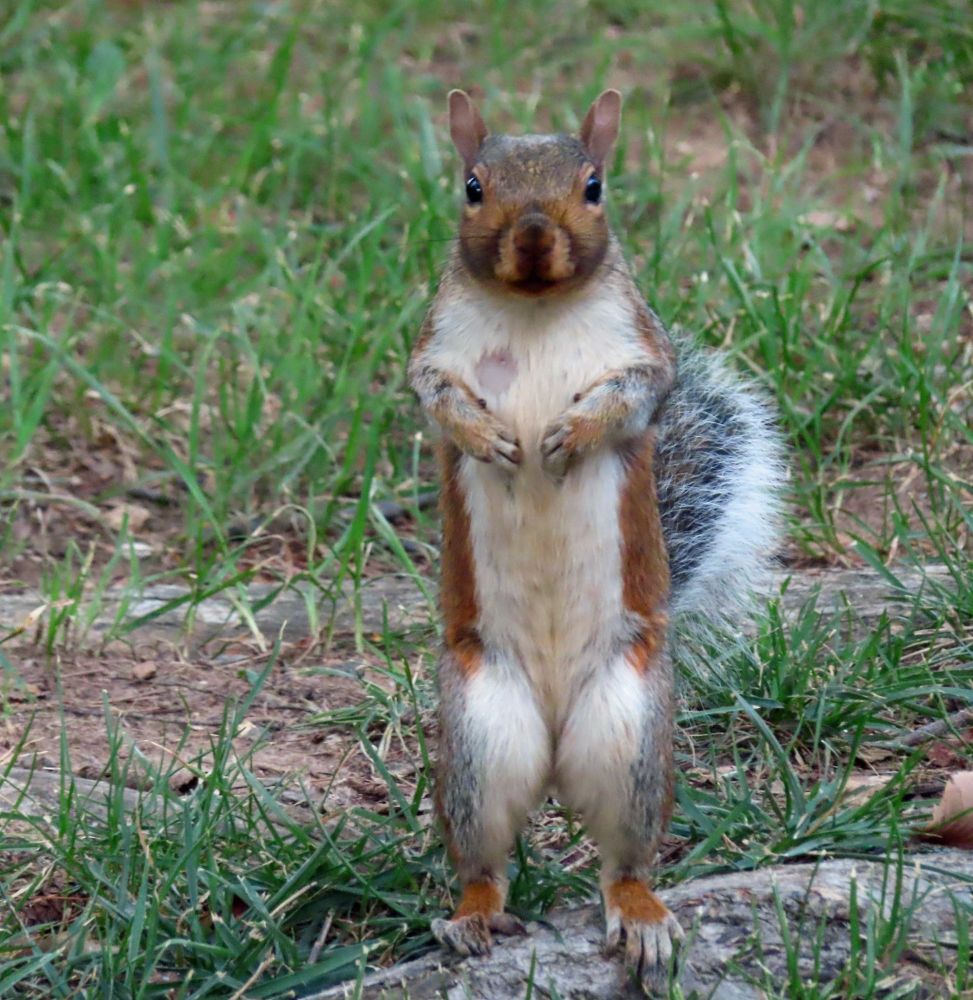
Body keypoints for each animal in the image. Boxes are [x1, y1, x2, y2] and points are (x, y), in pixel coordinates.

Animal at [409, 88, 784, 989]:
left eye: (593, 185)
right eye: (472, 187)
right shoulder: (432, 352)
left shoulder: (641, 352)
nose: (532, 235)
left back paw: (641, 918)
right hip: (477, 737)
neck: (535, 308)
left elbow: (635, 391)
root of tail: (550, 747)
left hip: (631, 734)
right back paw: (470, 918)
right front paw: (485, 437)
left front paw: (570, 435)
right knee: (483, 860)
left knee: (624, 861)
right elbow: (435, 395)